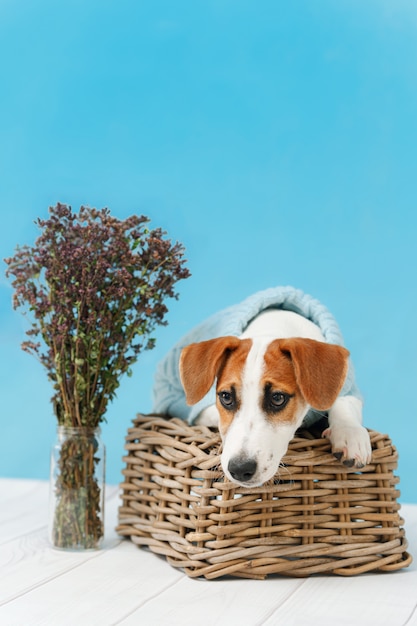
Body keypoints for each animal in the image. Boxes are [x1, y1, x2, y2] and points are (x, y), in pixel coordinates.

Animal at [152, 286, 370, 488]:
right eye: (226, 397)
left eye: (278, 398)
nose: (240, 469)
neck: (273, 327)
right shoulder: (201, 411)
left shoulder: (347, 387)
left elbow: (343, 403)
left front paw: (350, 435)